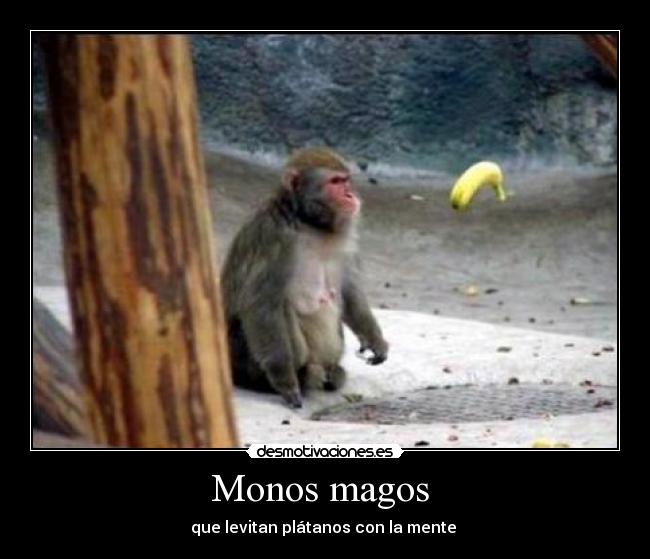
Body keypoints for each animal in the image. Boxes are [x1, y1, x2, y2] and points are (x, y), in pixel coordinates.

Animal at [221, 147, 388, 408]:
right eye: (335, 182)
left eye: (345, 180)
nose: (350, 195)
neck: (307, 222)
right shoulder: (274, 237)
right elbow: (261, 304)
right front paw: (285, 381)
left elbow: (349, 290)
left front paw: (374, 340)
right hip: (241, 359)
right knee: (281, 308)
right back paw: (298, 376)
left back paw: (332, 372)